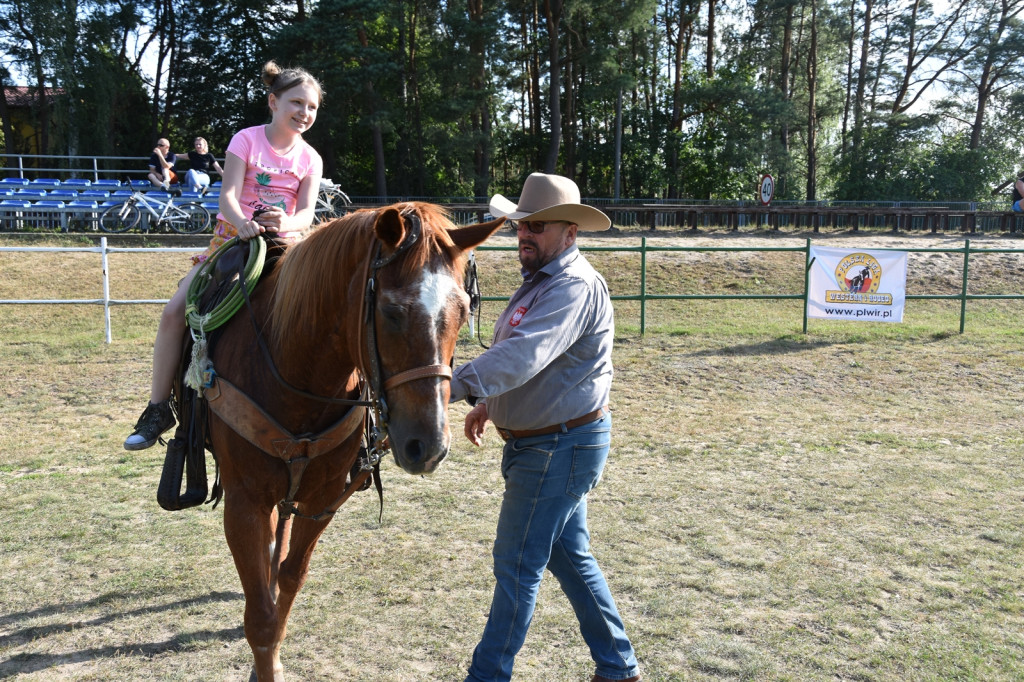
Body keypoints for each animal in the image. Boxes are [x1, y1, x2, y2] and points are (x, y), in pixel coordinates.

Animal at [198, 204, 499, 675]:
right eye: (391, 312)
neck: (294, 375)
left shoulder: (321, 499)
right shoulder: (244, 502)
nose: (428, 446)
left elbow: (290, 576)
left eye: (465, 311)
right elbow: (260, 615)